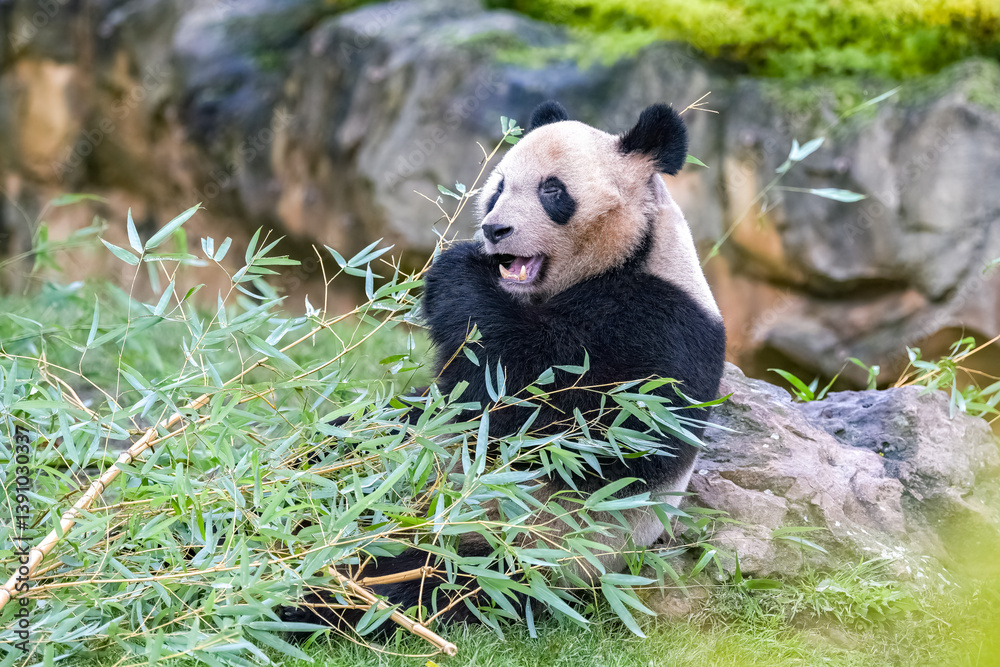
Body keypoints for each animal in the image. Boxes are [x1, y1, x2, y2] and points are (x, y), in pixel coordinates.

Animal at [284, 100, 726, 634]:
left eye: (552, 190)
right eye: (497, 188)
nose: (495, 230)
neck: (631, 254)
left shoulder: (659, 329)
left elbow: (557, 415)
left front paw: (457, 269)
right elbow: (448, 398)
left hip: (516, 551)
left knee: (409, 581)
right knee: (338, 446)